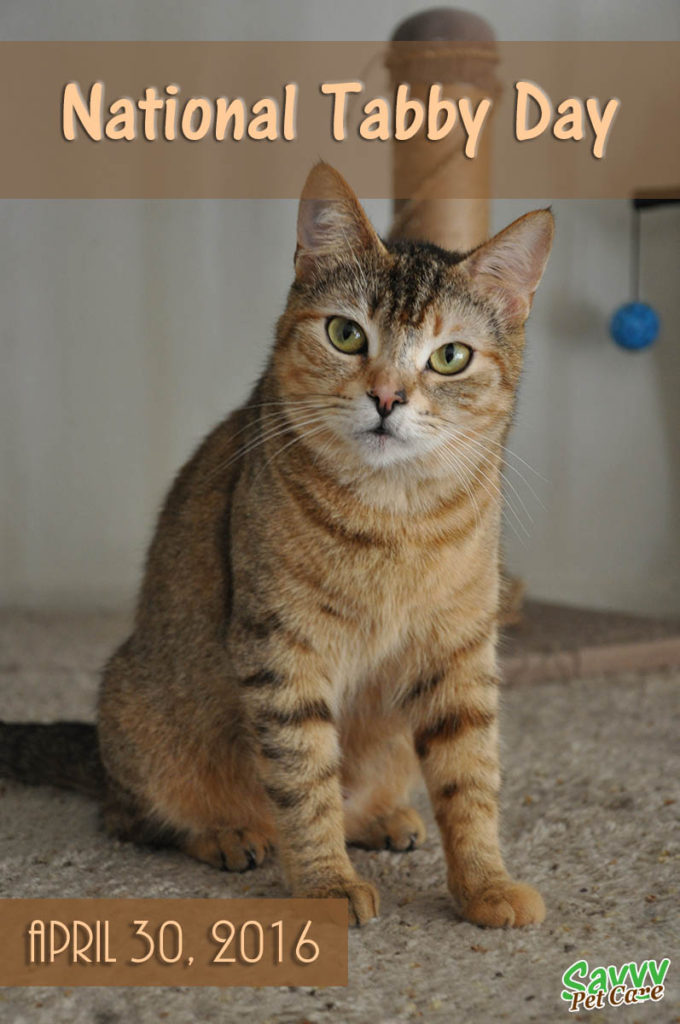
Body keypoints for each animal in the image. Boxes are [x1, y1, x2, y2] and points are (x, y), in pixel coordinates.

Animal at [0, 161, 553, 929]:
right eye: (347, 335)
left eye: (450, 356)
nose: (387, 397)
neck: (395, 520)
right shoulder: (282, 649)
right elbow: (303, 779)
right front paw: (325, 883)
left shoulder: (460, 652)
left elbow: (470, 780)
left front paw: (485, 884)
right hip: (141, 719)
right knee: (133, 818)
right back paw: (230, 833)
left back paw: (381, 818)